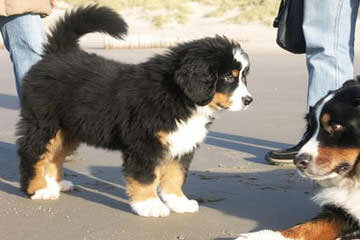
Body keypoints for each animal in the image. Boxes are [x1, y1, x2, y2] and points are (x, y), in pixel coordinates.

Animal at [17, 5, 253, 218]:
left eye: (243, 76)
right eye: (228, 77)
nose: (249, 100)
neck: (179, 96)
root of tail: (59, 52)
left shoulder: (182, 143)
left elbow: (176, 176)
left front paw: (179, 202)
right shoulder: (144, 144)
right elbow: (146, 177)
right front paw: (150, 205)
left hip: (69, 129)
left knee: (54, 155)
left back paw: (55, 184)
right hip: (44, 122)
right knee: (33, 153)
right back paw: (39, 189)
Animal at [235, 78, 360, 238]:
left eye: (336, 126)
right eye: (311, 127)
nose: (298, 162)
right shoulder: (341, 212)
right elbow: (306, 228)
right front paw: (262, 236)